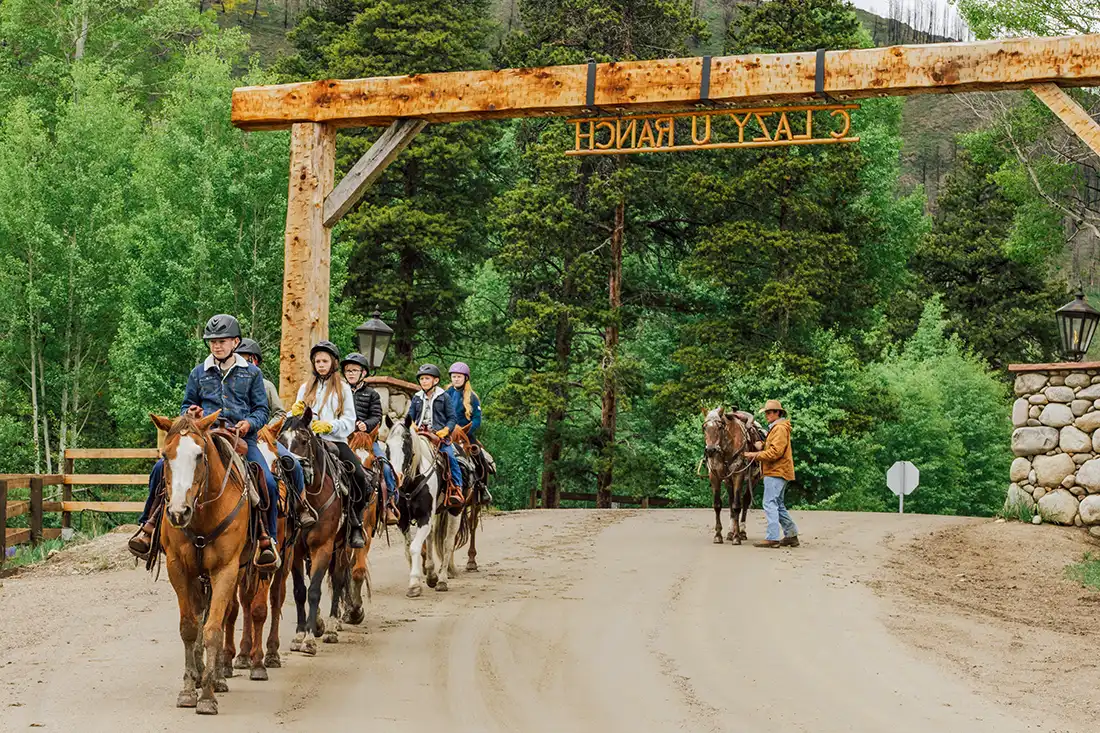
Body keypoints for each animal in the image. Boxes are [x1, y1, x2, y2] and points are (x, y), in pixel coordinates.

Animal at [148, 411, 251, 713]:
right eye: (165, 454)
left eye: (199, 455)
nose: (178, 512)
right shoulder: (178, 569)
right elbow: (190, 627)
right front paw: (187, 688)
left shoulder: (226, 570)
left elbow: (213, 628)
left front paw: (207, 695)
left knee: (224, 615)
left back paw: (216, 677)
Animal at [222, 422, 292, 677]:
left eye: (276, 460)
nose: (279, 500)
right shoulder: (236, 562)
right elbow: (234, 608)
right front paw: (229, 658)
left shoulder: (266, 562)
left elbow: (260, 609)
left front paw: (259, 662)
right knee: (246, 599)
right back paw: (244, 653)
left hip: (285, 558)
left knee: (276, 597)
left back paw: (270, 652)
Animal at [277, 407, 345, 651]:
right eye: (281, 440)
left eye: (304, 440)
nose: (289, 465)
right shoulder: (296, 551)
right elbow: (300, 591)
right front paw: (300, 633)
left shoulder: (323, 547)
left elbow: (314, 591)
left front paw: (308, 639)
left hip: (342, 547)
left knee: (338, 579)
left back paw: (332, 627)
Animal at [387, 416, 464, 594]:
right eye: (387, 446)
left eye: (406, 445)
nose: (397, 476)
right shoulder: (403, 520)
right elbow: (408, 549)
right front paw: (419, 579)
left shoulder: (425, 516)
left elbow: (415, 547)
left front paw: (414, 584)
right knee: (430, 536)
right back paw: (431, 574)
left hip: (455, 511)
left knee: (448, 543)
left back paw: (442, 580)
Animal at [699, 405, 761, 541]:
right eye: (704, 427)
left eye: (720, 427)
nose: (710, 450)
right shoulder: (715, 476)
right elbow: (718, 505)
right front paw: (718, 535)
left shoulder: (738, 474)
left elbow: (737, 505)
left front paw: (737, 537)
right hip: (728, 481)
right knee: (731, 500)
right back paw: (730, 532)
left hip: (753, 479)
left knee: (745, 501)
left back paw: (742, 532)